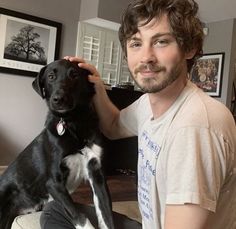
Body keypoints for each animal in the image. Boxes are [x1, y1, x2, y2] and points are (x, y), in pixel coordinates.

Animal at [0, 59, 114, 229]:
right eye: (51, 76)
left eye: (74, 75)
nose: (58, 99)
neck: (74, 122)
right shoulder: (53, 183)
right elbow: (79, 215)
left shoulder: (97, 174)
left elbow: (106, 215)